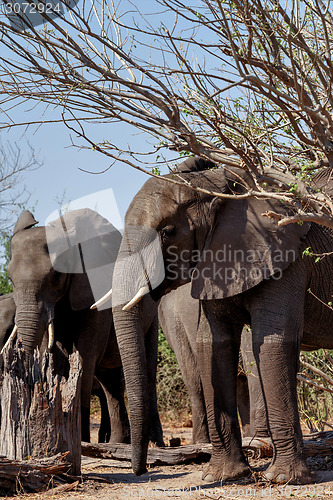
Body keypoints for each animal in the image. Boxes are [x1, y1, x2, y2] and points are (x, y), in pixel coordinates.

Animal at [111, 156, 332, 484]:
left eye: (167, 232)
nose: (142, 471)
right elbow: (214, 344)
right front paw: (222, 476)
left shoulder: (285, 254)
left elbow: (269, 342)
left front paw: (282, 479)